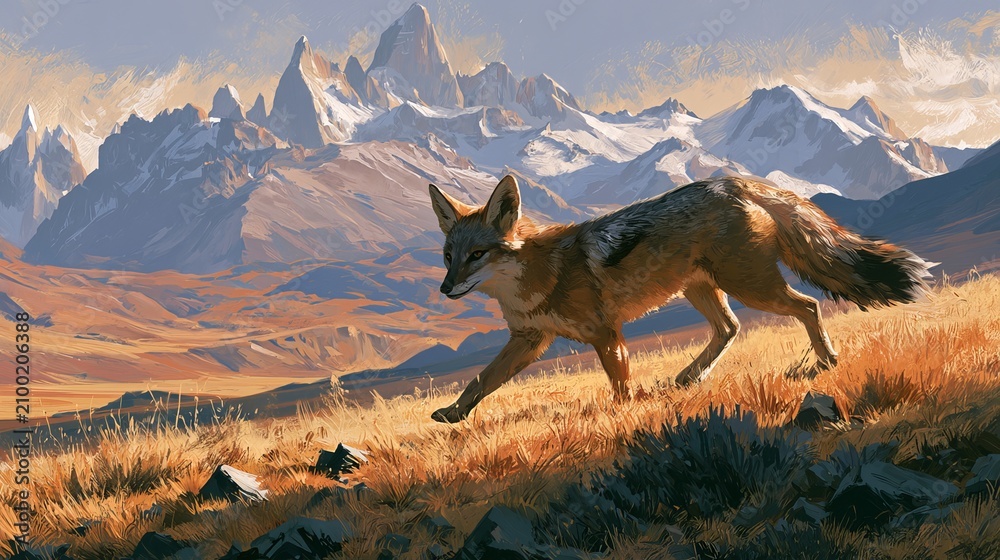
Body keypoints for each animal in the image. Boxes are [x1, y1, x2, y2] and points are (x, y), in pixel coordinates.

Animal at [427, 174, 932, 423]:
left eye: (477, 255)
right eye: (449, 257)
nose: (446, 288)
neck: (534, 280)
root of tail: (734, 181)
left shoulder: (606, 334)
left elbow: (620, 386)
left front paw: (623, 417)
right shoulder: (529, 339)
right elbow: (479, 381)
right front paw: (454, 414)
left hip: (752, 287)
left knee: (809, 306)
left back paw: (827, 360)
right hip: (703, 289)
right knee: (730, 328)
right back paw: (689, 377)